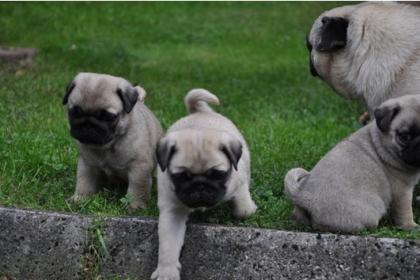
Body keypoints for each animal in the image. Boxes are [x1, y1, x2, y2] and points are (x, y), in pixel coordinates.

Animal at [63, 72, 163, 210]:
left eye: (108, 117)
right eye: (74, 112)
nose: (88, 125)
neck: (107, 147)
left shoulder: (139, 168)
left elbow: (137, 189)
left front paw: (134, 206)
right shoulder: (87, 165)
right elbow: (84, 183)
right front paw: (80, 199)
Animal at [151, 89, 256, 280]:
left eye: (217, 174)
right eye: (182, 177)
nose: (199, 185)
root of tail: (200, 111)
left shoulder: (238, 181)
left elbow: (242, 207)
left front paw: (247, 209)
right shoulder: (172, 211)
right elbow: (168, 245)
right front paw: (166, 271)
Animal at [282, 95, 420, 233]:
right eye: (404, 136)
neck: (381, 142)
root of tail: (302, 195)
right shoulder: (402, 191)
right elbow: (405, 211)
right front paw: (411, 226)